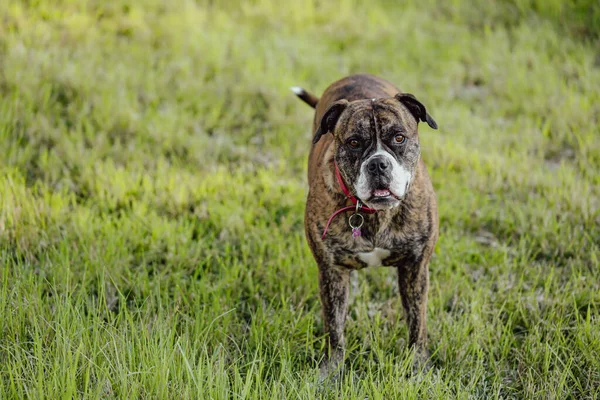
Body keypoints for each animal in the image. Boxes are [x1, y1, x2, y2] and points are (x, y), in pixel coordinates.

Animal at [292, 72, 438, 376]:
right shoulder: (331, 272)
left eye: (399, 138)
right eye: (354, 143)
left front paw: (418, 365)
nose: (378, 164)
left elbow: (417, 322)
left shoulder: (416, 267)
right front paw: (332, 370)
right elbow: (334, 326)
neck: (374, 213)